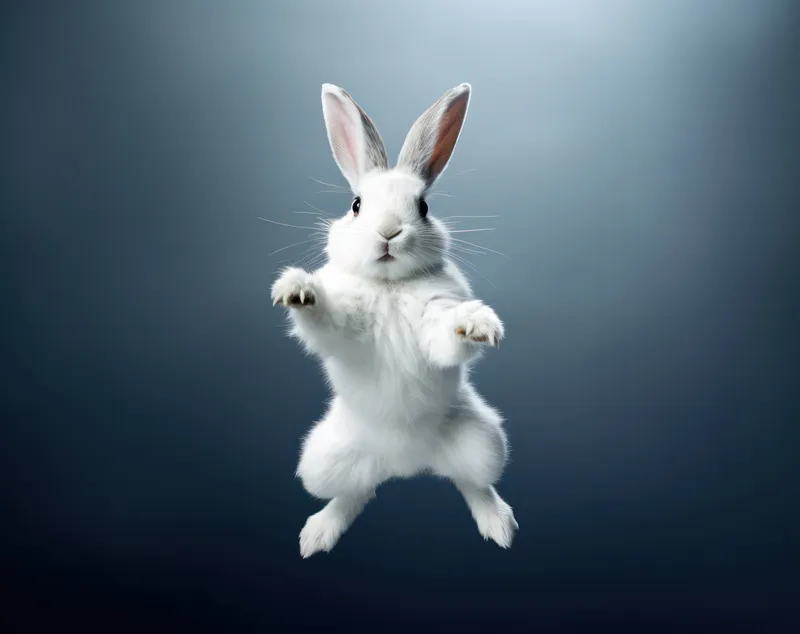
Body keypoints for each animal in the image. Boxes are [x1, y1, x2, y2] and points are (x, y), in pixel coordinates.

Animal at [271, 82, 518, 558]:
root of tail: (406, 465)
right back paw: (317, 534)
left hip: (485, 444)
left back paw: (500, 525)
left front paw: (478, 324)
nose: (388, 232)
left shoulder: (436, 317)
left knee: (473, 483)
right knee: (352, 493)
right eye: (356, 205)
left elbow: (446, 335)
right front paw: (297, 289)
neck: (389, 286)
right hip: (322, 461)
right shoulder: (344, 326)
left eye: (423, 206)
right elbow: (327, 319)